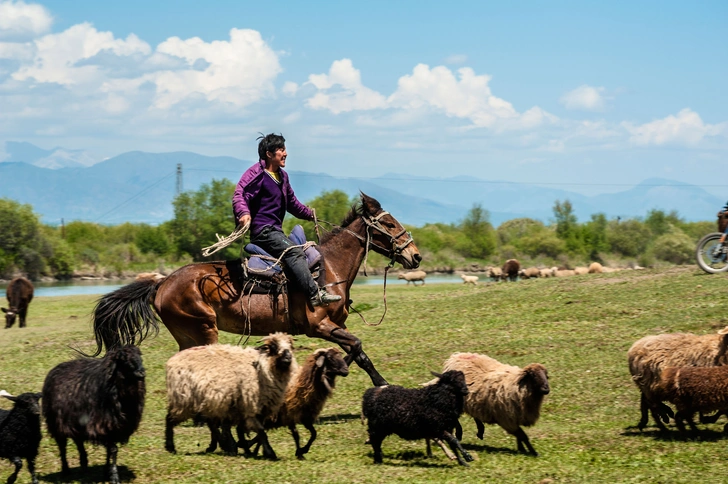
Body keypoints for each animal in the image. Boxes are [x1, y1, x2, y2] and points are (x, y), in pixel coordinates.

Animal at [42, 344, 146, 484]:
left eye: (140, 356)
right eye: (123, 359)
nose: (141, 373)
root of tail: (55, 369)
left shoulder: (116, 427)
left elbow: (110, 450)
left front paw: (107, 473)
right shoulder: (104, 425)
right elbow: (113, 449)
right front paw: (114, 476)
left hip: (76, 422)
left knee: (78, 441)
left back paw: (84, 464)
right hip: (56, 422)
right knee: (62, 446)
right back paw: (65, 470)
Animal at [91, 193, 420, 386]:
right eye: (390, 224)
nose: (415, 256)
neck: (328, 268)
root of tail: (162, 283)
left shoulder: (336, 325)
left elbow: (356, 351)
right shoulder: (320, 326)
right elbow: (358, 346)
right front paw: (378, 382)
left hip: (187, 334)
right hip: (203, 329)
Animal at [164, 332, 296, 458]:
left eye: (290, 346)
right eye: (273, 346)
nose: (288, 358)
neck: (263, 368)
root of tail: (173, 360)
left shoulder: (257, 409)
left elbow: (251, 432)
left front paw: (245, 447)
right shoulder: (250, 406)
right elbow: (260, 432)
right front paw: (269, 452)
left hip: (207, 400)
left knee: (211, 424)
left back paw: (222, 446)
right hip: (184, 399)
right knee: (170, 419)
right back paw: (170, 447)